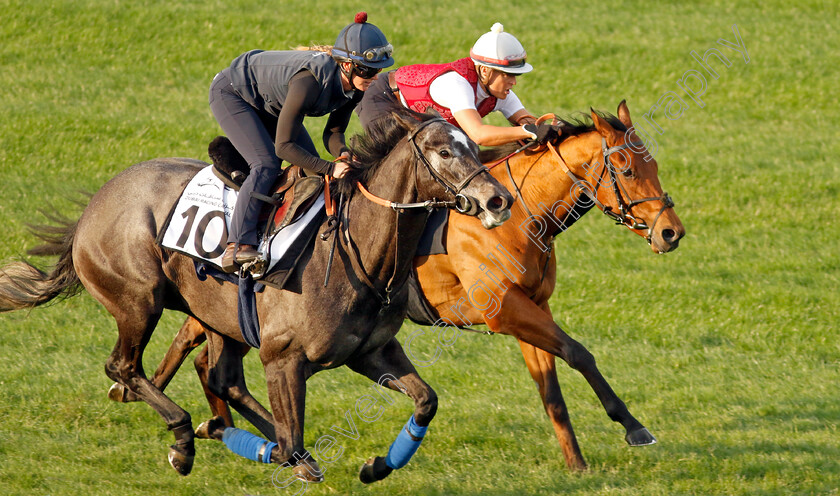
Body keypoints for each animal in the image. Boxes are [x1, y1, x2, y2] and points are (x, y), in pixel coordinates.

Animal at [0, 111, 512, 480]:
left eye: (474, 146)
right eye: (444, 151)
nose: (498, 200)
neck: (359, 252)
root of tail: (93, 207)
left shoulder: (372, 352)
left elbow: (426, 400)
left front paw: (377, 466)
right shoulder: (283, 358)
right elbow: (288, 442)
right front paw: (242, 442)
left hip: (217, 317)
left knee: (220, 376)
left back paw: (217, 428)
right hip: (138, 301)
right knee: (124, 367)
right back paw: (185, 437)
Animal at [110, 101, 684, 472]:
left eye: (654, 163)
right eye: (626, 167)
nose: (670, 232)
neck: (523, 213)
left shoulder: (529, 308)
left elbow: (552, 388)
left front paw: (577, 463)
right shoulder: (504, 310)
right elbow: (579, 353)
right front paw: (632, 426)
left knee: (205, 351)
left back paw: (198, 418)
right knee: (195, 350)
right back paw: (163, 405)